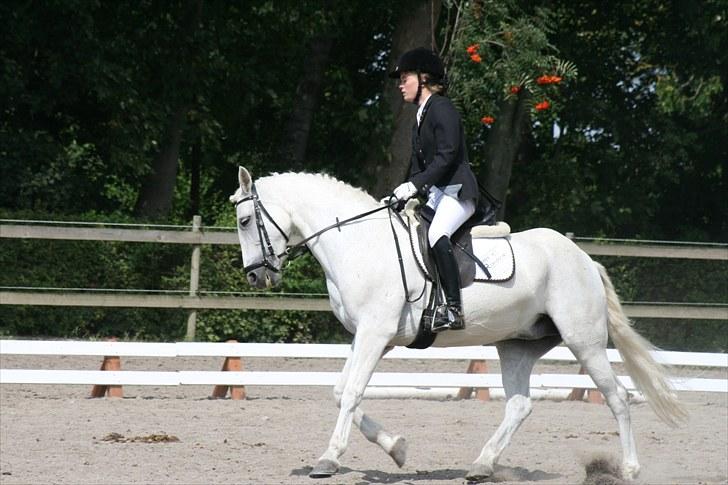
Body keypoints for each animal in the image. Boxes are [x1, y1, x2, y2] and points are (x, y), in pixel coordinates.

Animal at [229, 167, 686, 481]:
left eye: (245, 221)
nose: (256, 277)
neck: (358, 243)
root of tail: (584, 259)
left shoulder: (376, 334)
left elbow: (353, 393)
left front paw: (328, 458)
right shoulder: (369, 337)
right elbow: (342, 393)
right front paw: (397, 449)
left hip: (584, 341)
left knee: (618, 398)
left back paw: (630, 469)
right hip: (517, 344)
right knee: (519, 405)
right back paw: (481, 465)